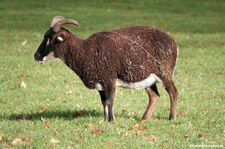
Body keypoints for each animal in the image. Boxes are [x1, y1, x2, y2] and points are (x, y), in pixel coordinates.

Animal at [33, 15, 179, 121]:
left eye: (53, 39)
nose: (36, 56)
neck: (85, 51)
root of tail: (174, 44)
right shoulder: (101, 85)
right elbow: (103, 102)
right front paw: (105, 120)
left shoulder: (109, 79)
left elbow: (110, 101)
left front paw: (111, 121)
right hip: (147, 78)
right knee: (154, 96)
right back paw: (144, 118)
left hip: (164, 73)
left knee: (173, 92)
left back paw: (171, 117)